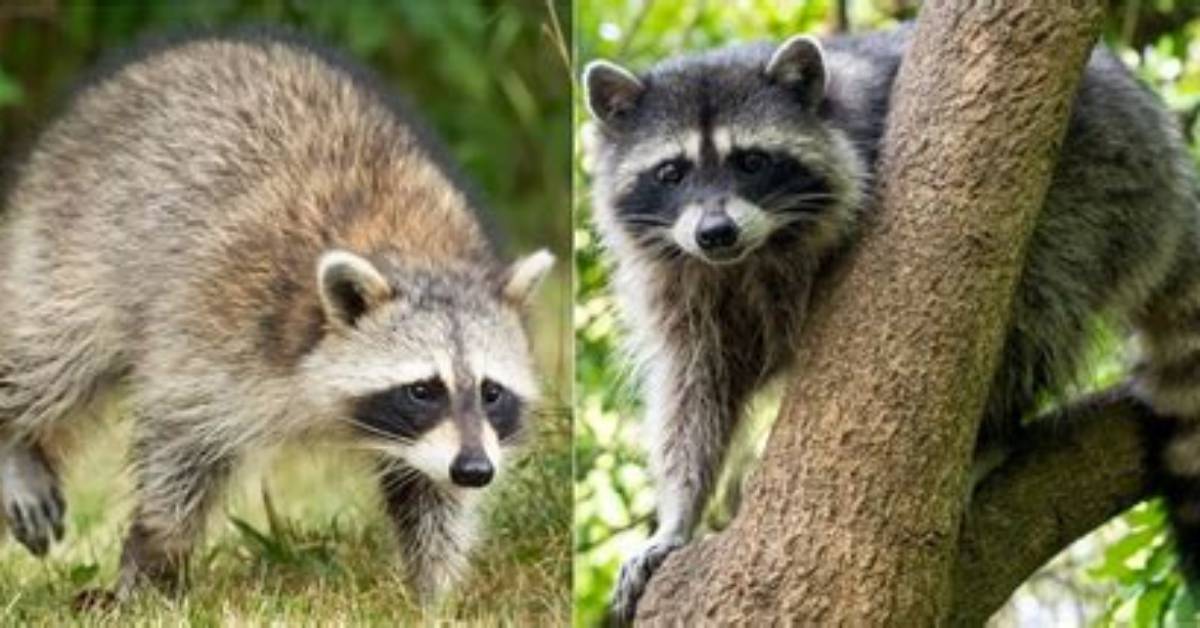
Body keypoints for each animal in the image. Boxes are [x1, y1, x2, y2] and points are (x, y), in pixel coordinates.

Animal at [0, 30, 554, 603]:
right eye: (423, 390)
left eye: (492, 391)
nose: (475, 470)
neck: (412, 251)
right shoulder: (217, 324)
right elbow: (181, 441)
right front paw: (155, 550)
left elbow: (430, 496)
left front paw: (433, 591)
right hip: (72, 246)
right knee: (51, 357)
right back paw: (15, 442)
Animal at [584, 27, 1200, 622]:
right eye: (671, 172)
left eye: (751, 161)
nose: (716, 233)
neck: (747, 256)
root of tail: (1169, 159)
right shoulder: (681, 286)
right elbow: (695, 392)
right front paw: (678, 513)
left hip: (1096, 185)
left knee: (1030, 306)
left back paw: (993, 433)